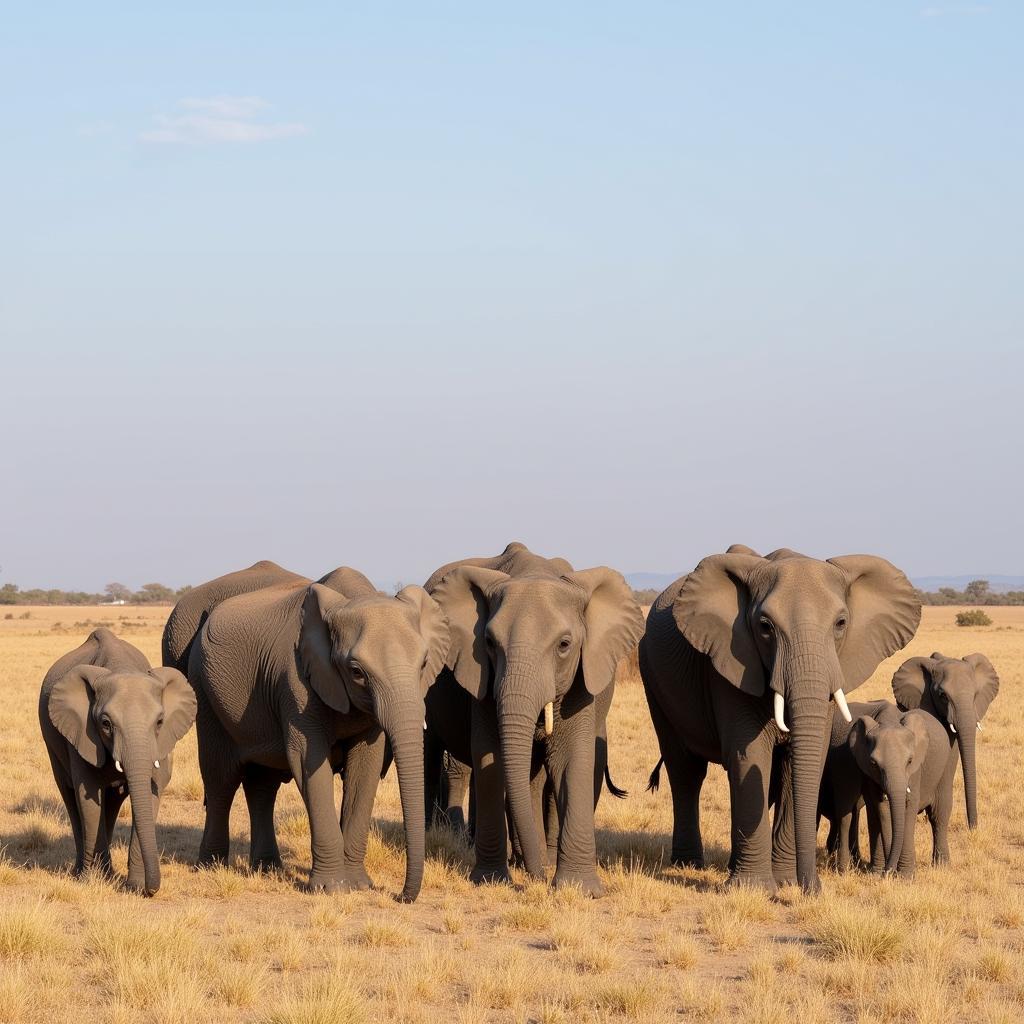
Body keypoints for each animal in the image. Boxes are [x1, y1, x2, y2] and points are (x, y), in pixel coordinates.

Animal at [39, 622, 197, 897]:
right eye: (105, 724)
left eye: (159, 722)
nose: (151, 890)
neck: (121, 667)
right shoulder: (82, 733)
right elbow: (88, 797)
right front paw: (94, 882)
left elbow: (152, 792)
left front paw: (133, 886)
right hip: (52, 744)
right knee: (70, 797)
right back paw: (84, 873)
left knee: (113, 802)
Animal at [185, 565, 448, 901]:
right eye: (356, 672)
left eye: (424, 663)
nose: (400, 896)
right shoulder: (295, 679)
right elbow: (308, 761)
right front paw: (331, 889)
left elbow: (366, 766)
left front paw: (359, 885)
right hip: (203, 689)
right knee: (221, 779)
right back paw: (210, 867)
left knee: (262, 784)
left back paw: (267, 869)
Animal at [421, 540, 638, 892]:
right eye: (489, 643)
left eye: (564, 645)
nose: (538, 879)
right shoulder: (481, 678)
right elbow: (489, 757)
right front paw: (491, 880)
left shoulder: (582, 677)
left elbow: (570, 758)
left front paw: (579, 889)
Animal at [638, 548, 921, 892]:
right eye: (765, 626)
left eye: (841, 623)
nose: (814, 889)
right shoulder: (730, 662)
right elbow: (751, 755)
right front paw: (754, 889)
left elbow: (796, 763)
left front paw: (784, 882)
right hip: (652, 676)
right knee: (685, 771)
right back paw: (688, 864)